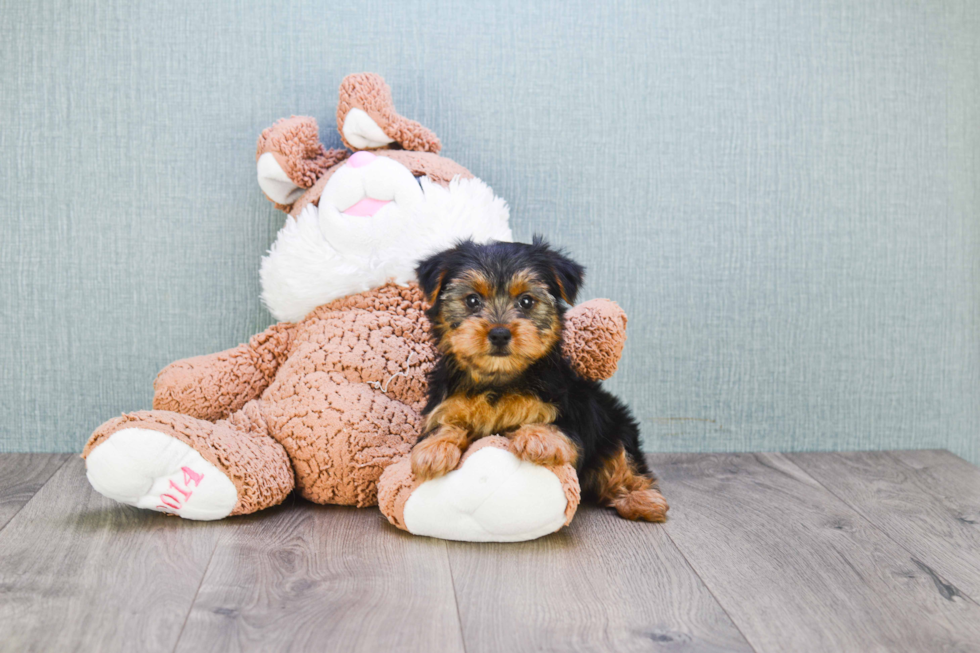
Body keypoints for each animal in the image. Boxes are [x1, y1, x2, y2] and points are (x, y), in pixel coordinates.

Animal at [410, 237, 668, 524]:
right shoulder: (446, 404)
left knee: (624, 460)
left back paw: (642, 500)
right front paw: (434, 449)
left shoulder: (571, 410)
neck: (499, 380)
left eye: (526, 301)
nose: (499, 333)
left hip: (615, 424)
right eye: (472, 300)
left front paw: (537, 437)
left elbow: (560, 429)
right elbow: (444, 424)